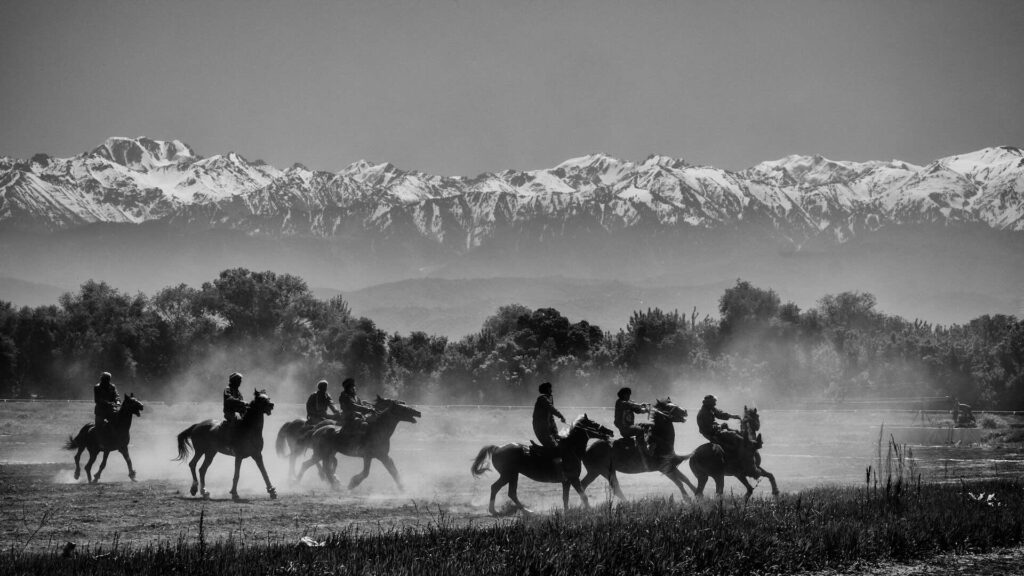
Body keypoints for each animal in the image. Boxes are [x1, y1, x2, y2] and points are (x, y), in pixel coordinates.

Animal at [473, 409, 614, 512]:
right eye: (593, 423)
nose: (610, 431)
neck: (570, 449)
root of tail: (497, 448)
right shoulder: (573, 479)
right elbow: (583, 496)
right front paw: (589, 510)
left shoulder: (566, 481)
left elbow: (566, 498)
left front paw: (567, 512)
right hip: (508, 475)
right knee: (496, 488)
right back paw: (494, 510)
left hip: (513, 475)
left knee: (511, 493)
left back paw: (526, 511)